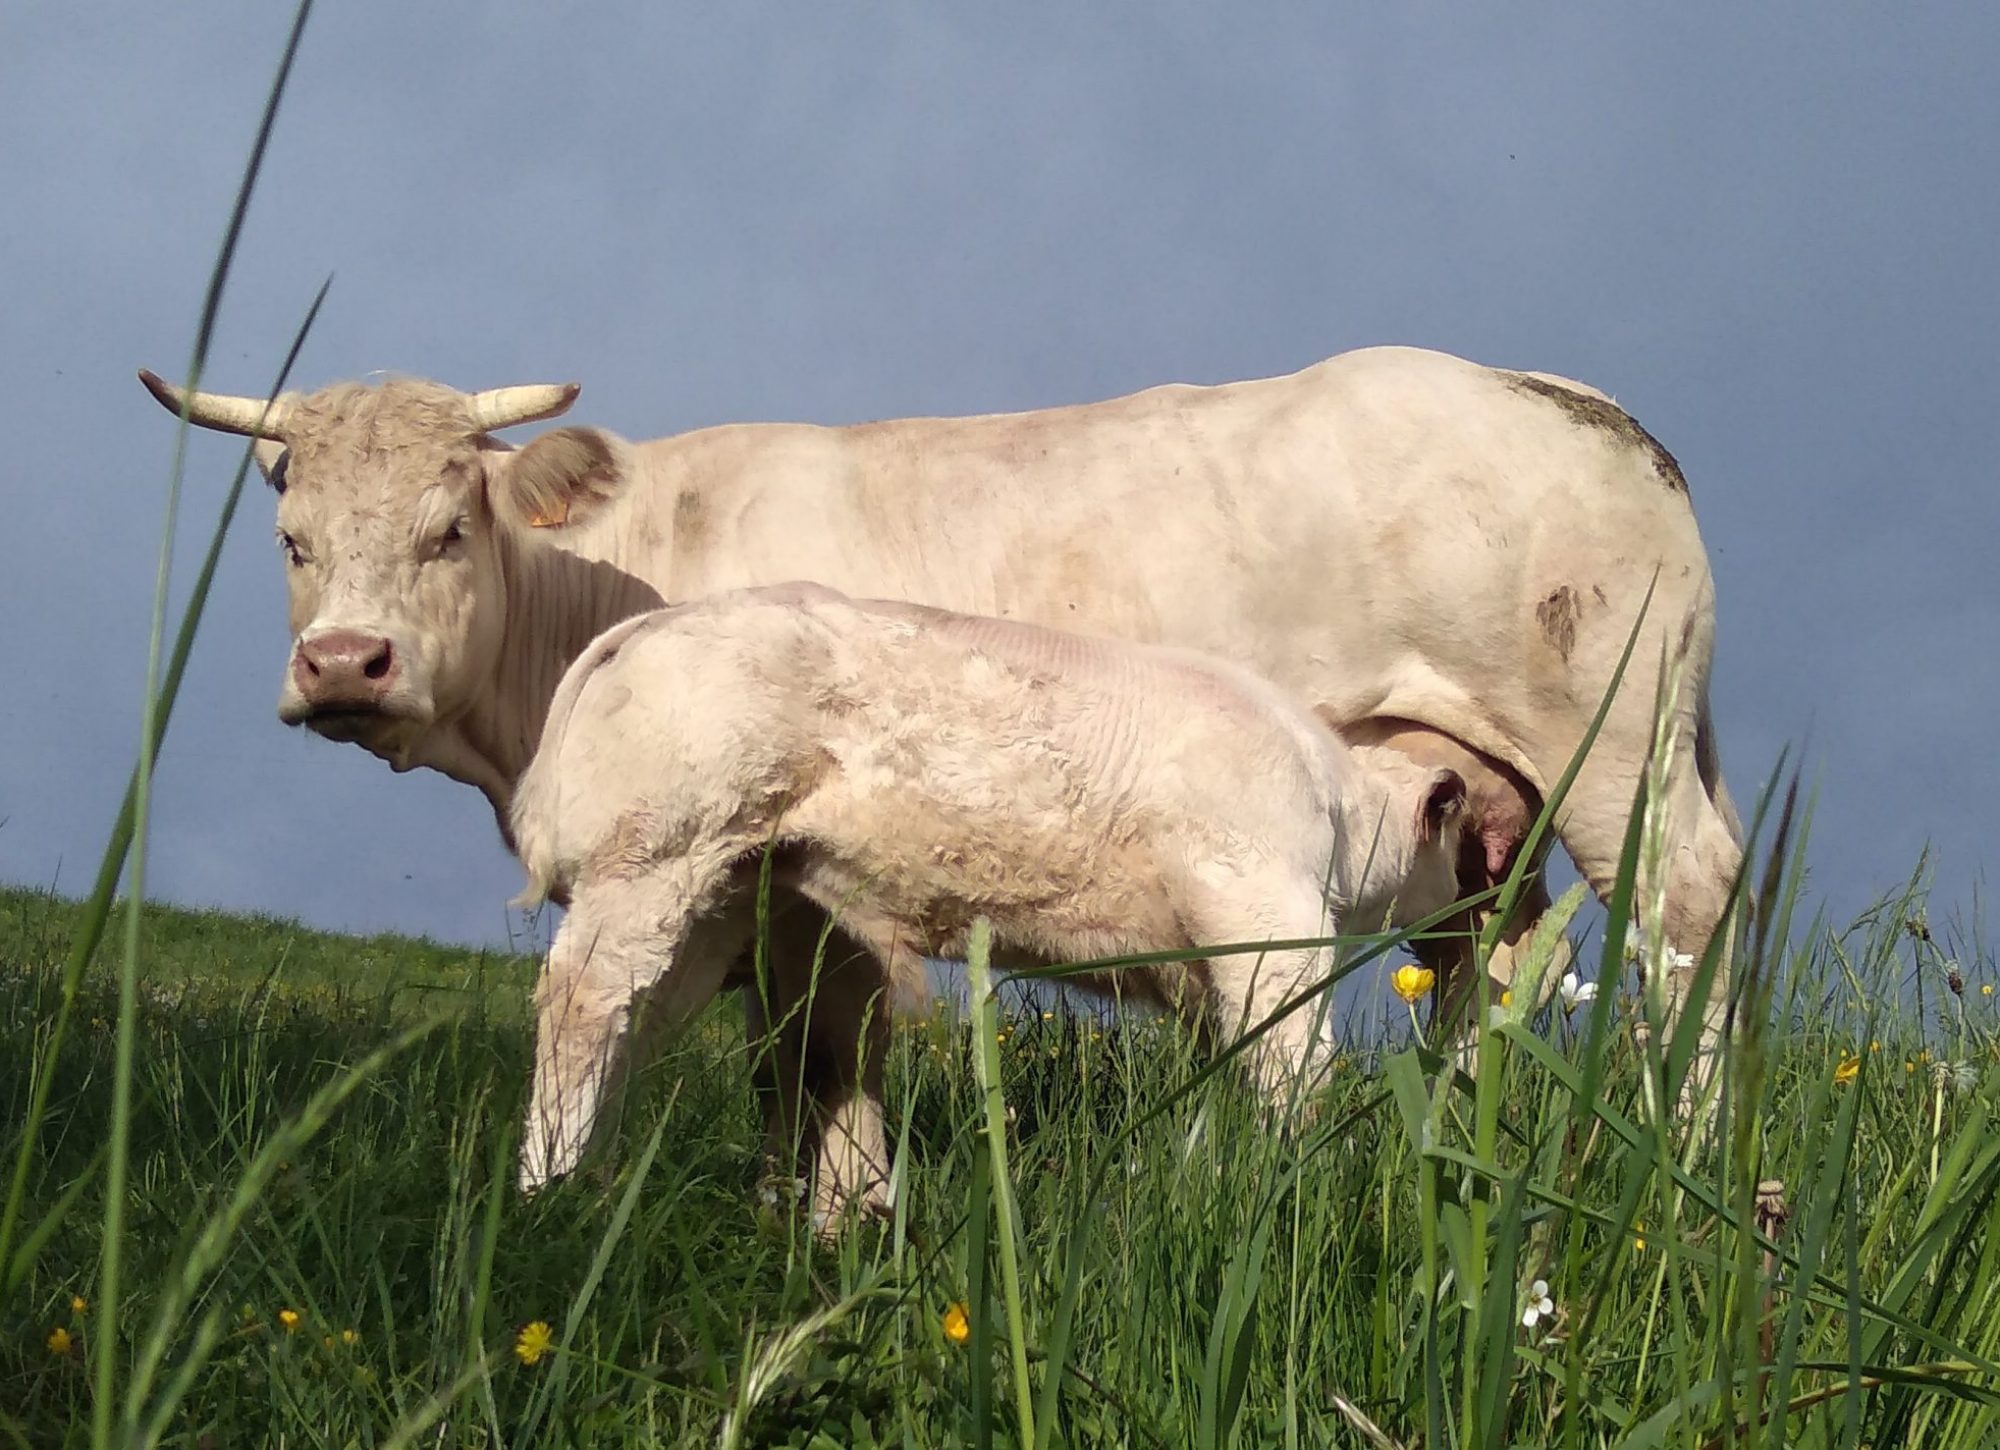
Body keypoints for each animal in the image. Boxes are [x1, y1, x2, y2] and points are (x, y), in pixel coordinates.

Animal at [508, 584, 1464, 1216]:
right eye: (1466, 851)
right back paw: (545, 1188)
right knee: (582, 1002)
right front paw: (1304, 1185)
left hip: (720, 891)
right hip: (653, 851)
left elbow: (1227, 1073)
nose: (1461, 926)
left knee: (648, 1021)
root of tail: (651, 623)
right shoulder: (1264, 914)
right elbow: (1296, 1065)